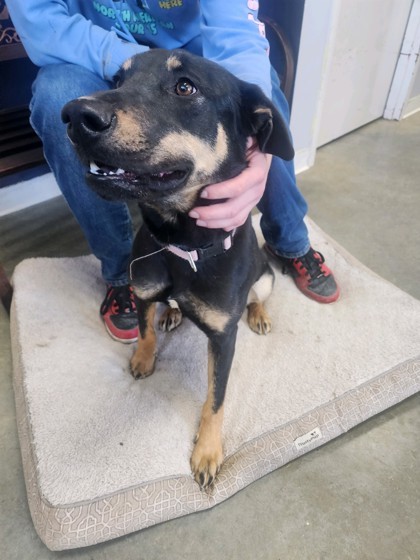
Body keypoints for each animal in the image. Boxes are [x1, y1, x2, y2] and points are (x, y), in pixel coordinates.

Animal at [61, 49, 292, 490]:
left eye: (185, 87)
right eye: (118, 79)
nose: (74, 115)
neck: (182, 245)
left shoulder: (223, 338)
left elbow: (215, 398)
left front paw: (207, 451)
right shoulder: (142, 291)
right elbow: (145, 331)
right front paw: (144, 358)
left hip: (266, 278)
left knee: (258, 296)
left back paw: (258, 314)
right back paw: (171, 312)